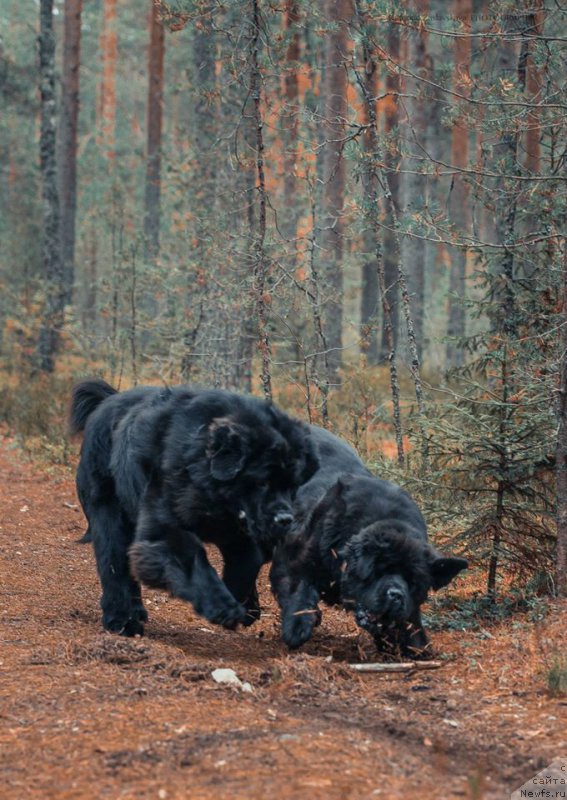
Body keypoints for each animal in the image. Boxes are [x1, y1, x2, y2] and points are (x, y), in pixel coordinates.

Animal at [70, 378, 320, 636]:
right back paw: (122, 620)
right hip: (107, 509)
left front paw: (244, 602)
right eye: (262, 482)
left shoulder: (236, 532)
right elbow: (192, 562)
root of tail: (107, 401)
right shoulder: (167, 528)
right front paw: (223, 606)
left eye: (293, 484)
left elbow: (248, 561)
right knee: (114, 563)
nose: (285, 520)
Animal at [270, 428, 470, 660]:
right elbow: (299, 588)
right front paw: (297, 627)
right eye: (380, 570)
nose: (396, 595)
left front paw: (416, 647)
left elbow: (409, 622)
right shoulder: (299, 556)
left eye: (413, 582)